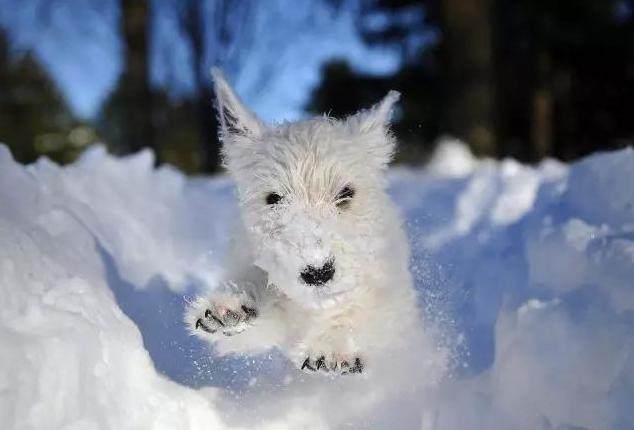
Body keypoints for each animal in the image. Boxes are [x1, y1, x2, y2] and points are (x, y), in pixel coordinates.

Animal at [185, 68, 428, 376]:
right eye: (273, 198)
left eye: (346, 193)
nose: (317, 272)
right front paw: (231, 309)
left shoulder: (394, 308)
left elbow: (365, 311)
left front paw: (333, 346)